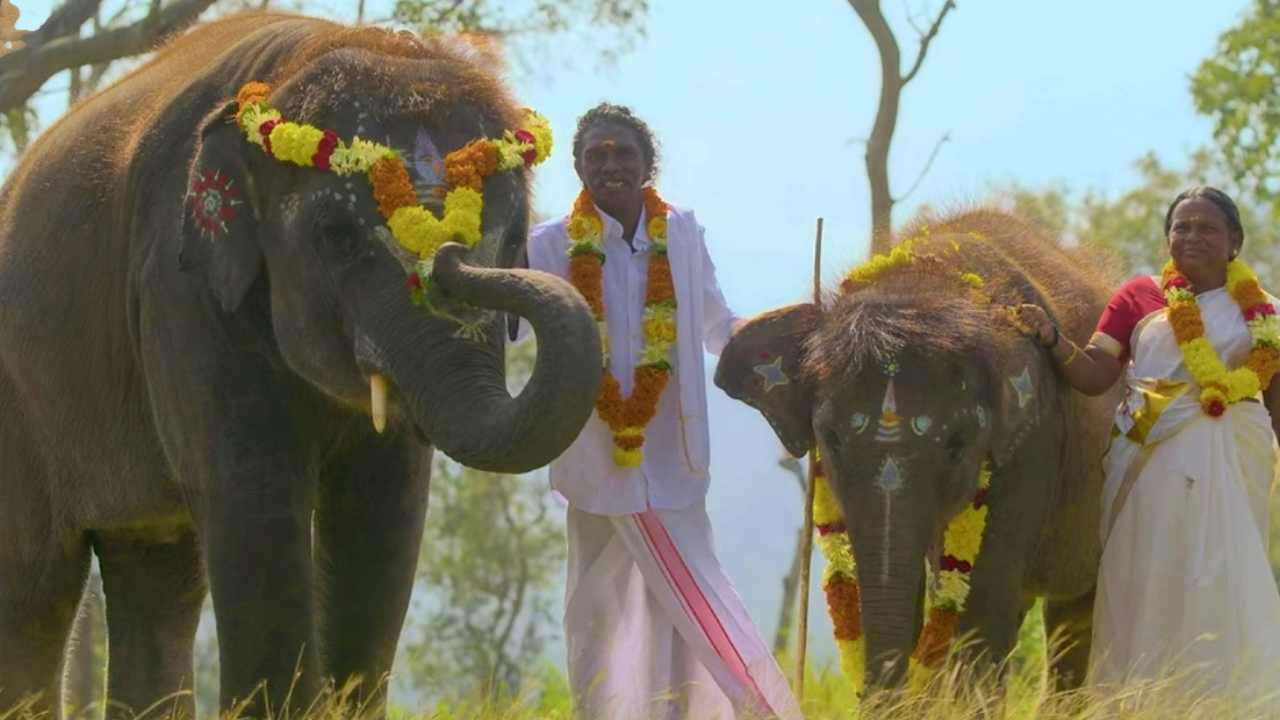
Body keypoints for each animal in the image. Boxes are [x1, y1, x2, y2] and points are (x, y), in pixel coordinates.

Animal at [0, 11, 601, 718]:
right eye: (338, 237)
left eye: (511, 238)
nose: (452, 254)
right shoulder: (181, 293)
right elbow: (253, 496)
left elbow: (384, 509)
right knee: (33, 587)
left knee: (155, 572)